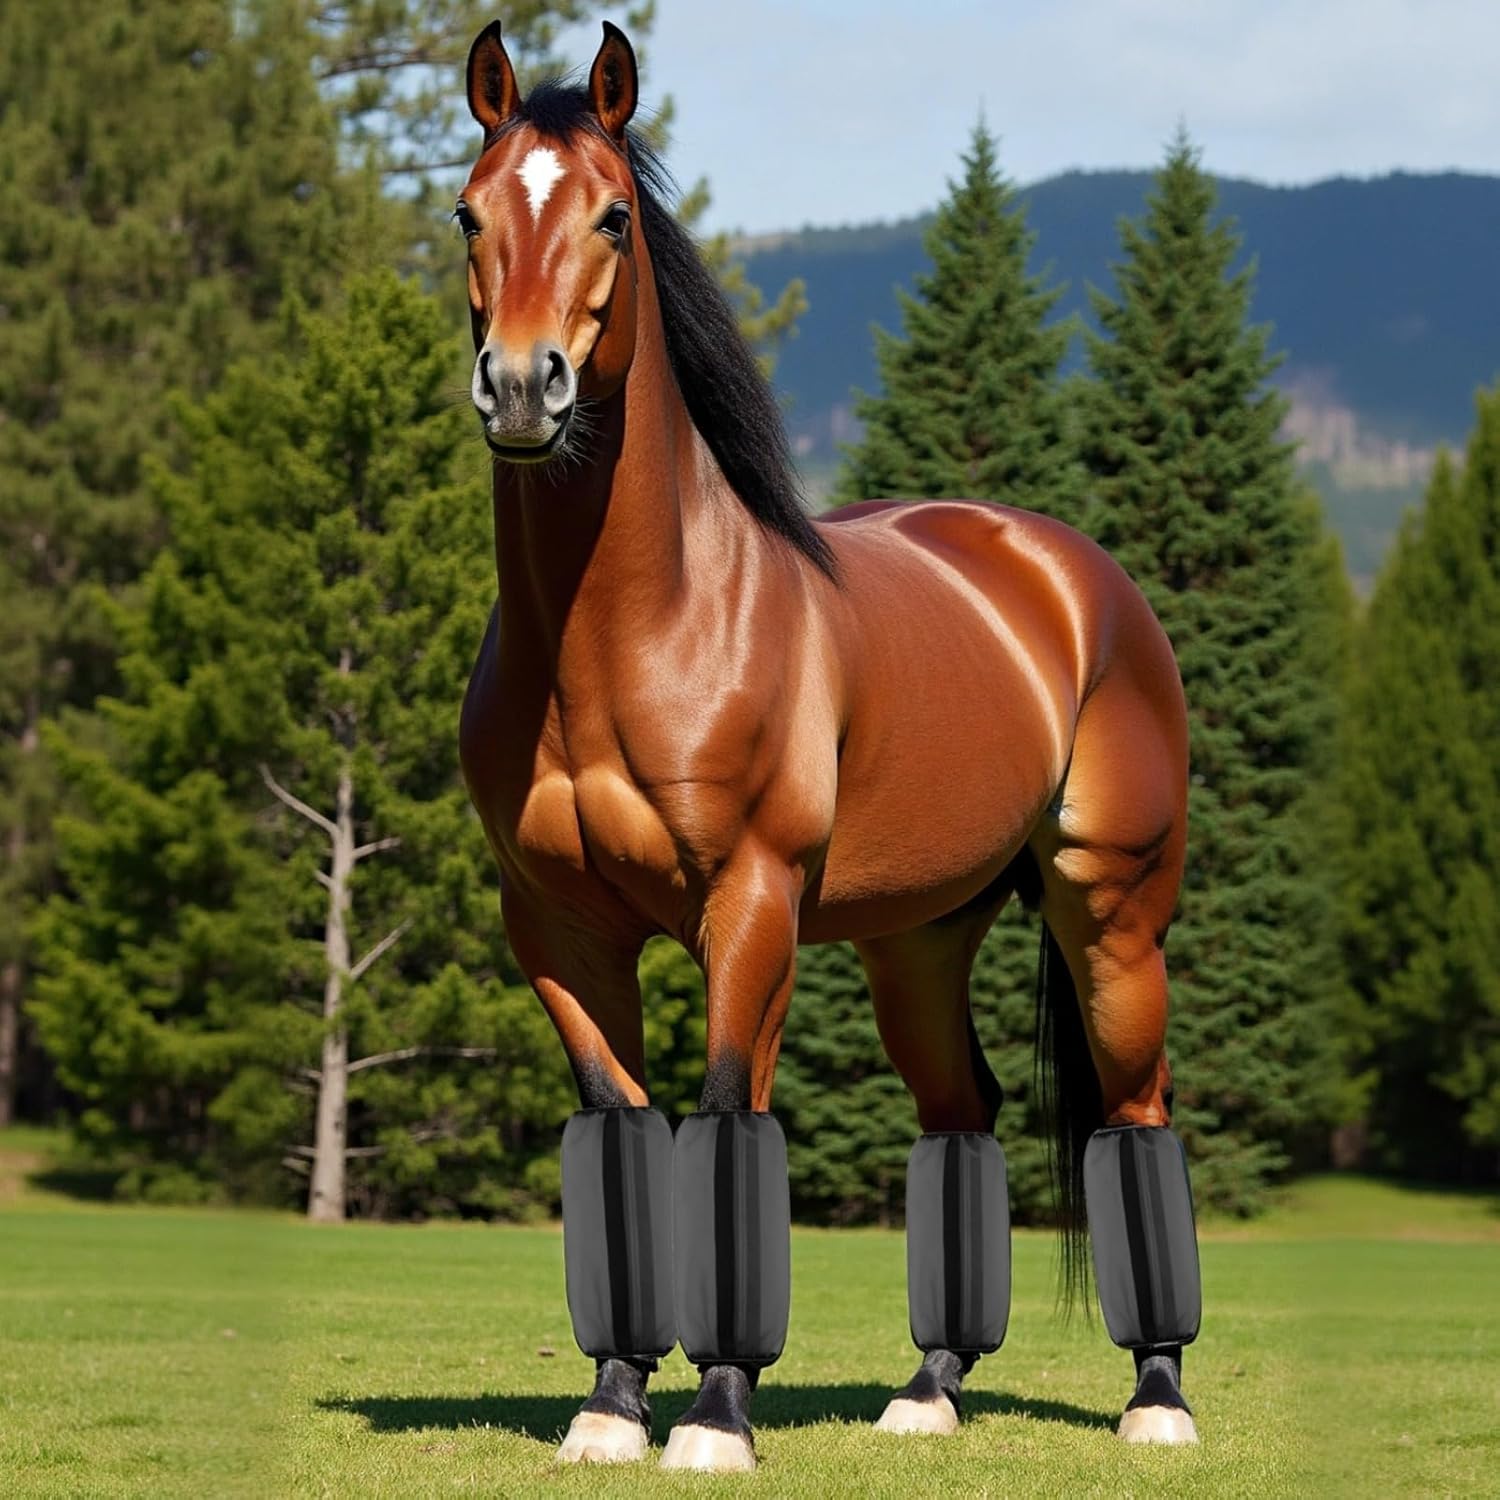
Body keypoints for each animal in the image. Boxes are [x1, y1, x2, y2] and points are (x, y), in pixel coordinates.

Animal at [456, 20, 1198, 1473]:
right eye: (467, 212)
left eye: (613, 216)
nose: (522, 388)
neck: (637, 631)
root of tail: (1075, 576)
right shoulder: (557, 928)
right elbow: (619, 1128)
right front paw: (611, 1409)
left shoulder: (749, 905)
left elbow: (727, 1114)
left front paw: (715, 1419)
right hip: (921, 942)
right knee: (962, 1117)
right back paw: (929, 1391)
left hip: (1113, 915)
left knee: (1136, 1118)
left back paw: (1158, 1400)